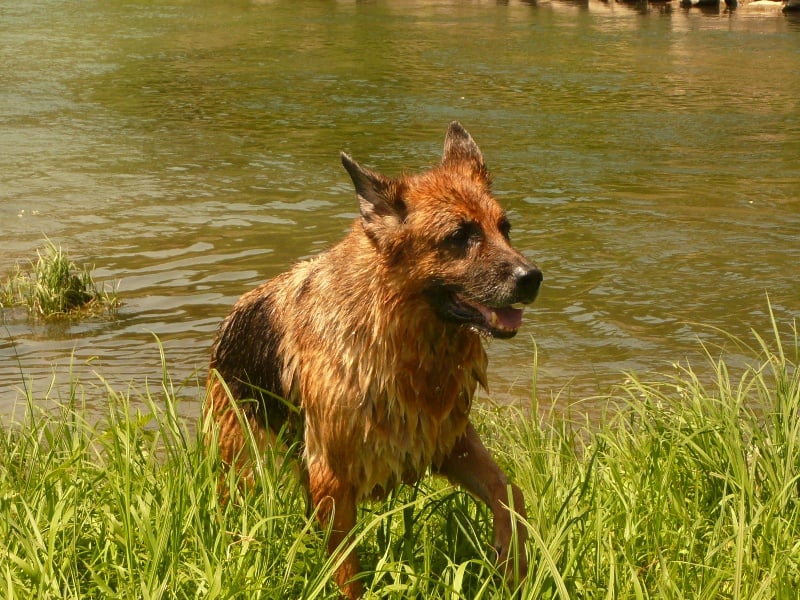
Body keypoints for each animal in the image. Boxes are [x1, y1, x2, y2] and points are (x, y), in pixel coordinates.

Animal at [206, 120, 544, 596]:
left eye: (505, 228)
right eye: (460, 237)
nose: (532, 278)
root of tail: (229, 320)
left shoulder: (448, 442)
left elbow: (508, 491)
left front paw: (513, 565)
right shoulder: (332, 479)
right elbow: (347, 572)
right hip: (242, 462)